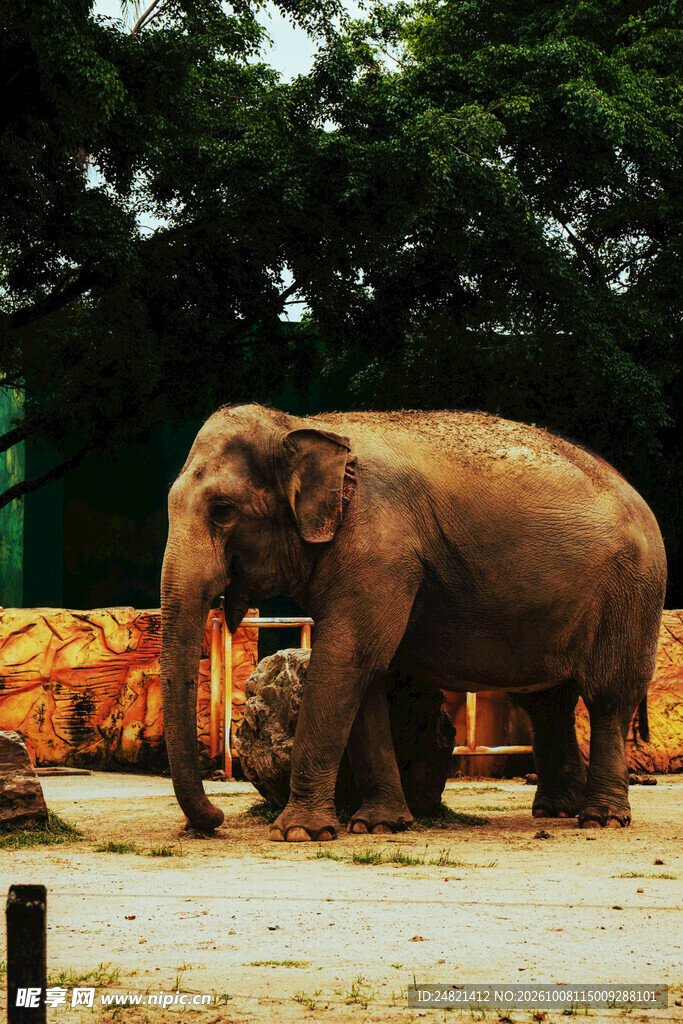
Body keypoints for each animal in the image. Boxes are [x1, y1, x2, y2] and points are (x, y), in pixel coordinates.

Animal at [160, 404, 667, 839]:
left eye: (223, 510)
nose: (216, 817)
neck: (301, 425)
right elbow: (363, 673)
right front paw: (379, 826)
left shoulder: (381, 548)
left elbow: (347, 660)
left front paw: (299, 833)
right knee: (546, 701)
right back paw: (555, 811)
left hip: (632, 593)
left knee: (608, 698)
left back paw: (601, 819)